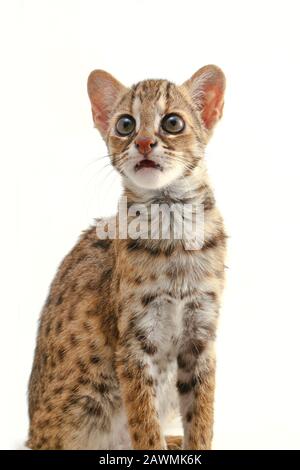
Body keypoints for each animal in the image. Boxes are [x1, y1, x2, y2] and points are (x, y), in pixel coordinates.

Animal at [27, 64, 226, 450]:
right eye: (125, 125)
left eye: (172, 122)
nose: (144, 142)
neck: (171, 221)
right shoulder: (134, 342)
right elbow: (144, 425)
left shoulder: (201, 335)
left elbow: (202, 418)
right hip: (84, 403)